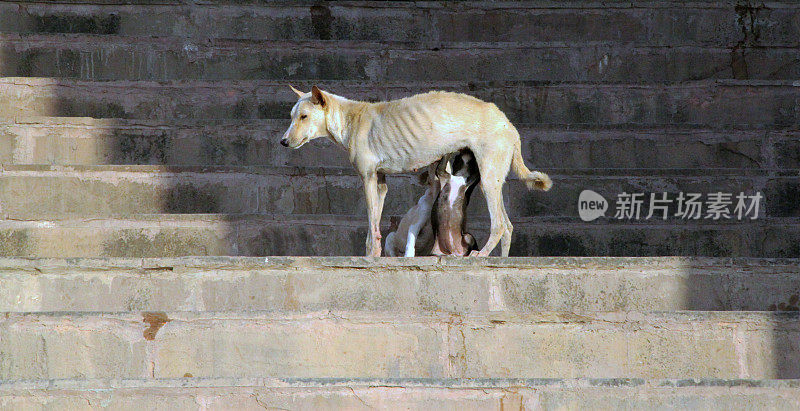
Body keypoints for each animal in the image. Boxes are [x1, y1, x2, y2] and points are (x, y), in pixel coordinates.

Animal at [282, 85, 552, 256]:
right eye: (292, 116)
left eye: (304, 116)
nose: (283, 142)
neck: (351, 118)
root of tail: (509, 125)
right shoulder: (380, 182)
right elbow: (375, 224)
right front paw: (374, 255)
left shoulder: (367, 178)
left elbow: (371, 226)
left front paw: (371, 257)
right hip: (494, 179)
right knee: (508, 226)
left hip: (487, 179)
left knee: (499, 225)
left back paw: (482, 255)